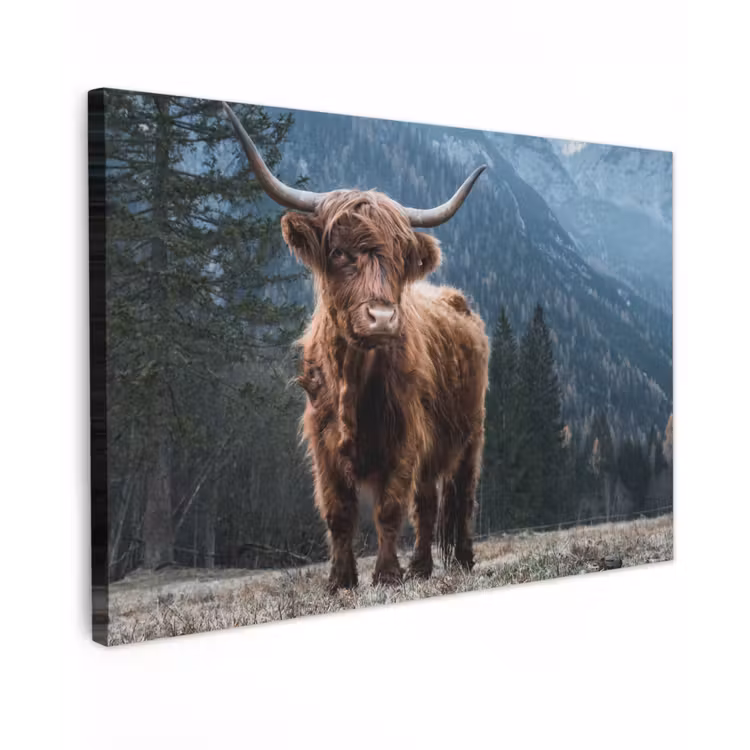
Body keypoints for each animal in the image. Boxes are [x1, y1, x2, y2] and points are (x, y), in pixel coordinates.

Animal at [223, 102, 490, 592]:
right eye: (339, 252)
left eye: (400, 258)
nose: (382, 318)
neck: (353, 376)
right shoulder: (323, 442)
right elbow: (338, 512)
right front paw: (340, 580)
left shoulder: (405, 436)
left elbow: (389, 508)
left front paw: (386, 574)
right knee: (427, 503)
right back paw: (422, 567)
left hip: (471, 434)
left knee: (461, 497)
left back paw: (459, 560)